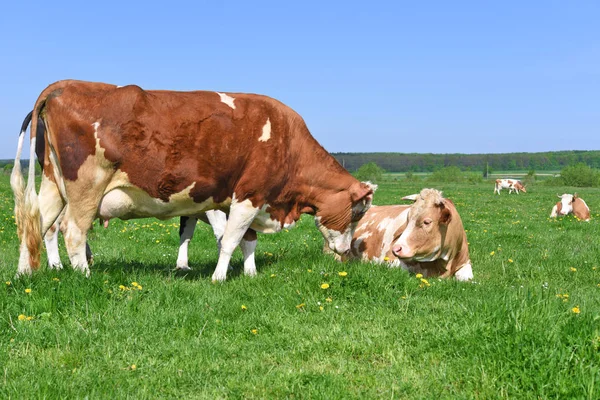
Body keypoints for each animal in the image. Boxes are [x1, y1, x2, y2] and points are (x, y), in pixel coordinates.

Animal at [10, 79, 376, 280]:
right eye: (356, 213)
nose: (347, 251)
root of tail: (63, 85)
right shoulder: (249, 194)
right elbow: (229, 240)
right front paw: (218, 277)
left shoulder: (241, 197)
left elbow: (248, 240)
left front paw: (251, 273)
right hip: (85, 187)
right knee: (72, 231)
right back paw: (85, 276)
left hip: (53, 184)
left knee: (35, 225)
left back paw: (24, 274)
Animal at [342, 188, 474, 280]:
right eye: (408, 218)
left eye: (427, 222)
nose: (396, 248)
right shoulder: (390, 262)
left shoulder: (465, 263)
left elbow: (468, 279)